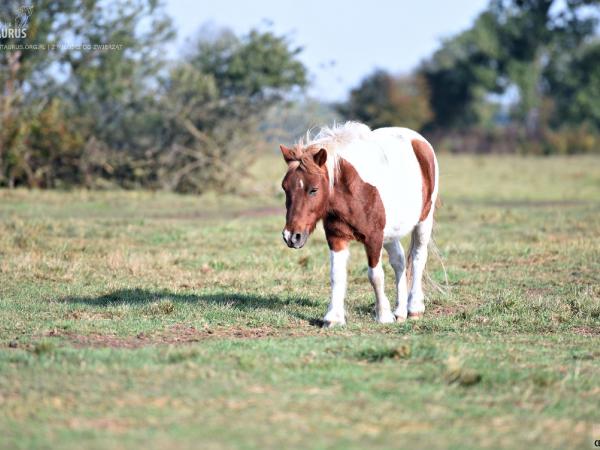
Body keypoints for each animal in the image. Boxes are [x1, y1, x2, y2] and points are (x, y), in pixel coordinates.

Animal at [278, 123, 438, 326]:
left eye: (313, 189)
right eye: (285, 187)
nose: (292, 236)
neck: (353, 190)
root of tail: (418, 140)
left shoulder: (373, 238)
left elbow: (375, 275)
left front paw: (383, 315)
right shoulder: (336, 238)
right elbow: (336, 275)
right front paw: (333, 317)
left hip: (424, 221)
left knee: (418, 258)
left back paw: (414, 308)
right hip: (390, 233)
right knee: (399, 261)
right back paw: (400, 312)